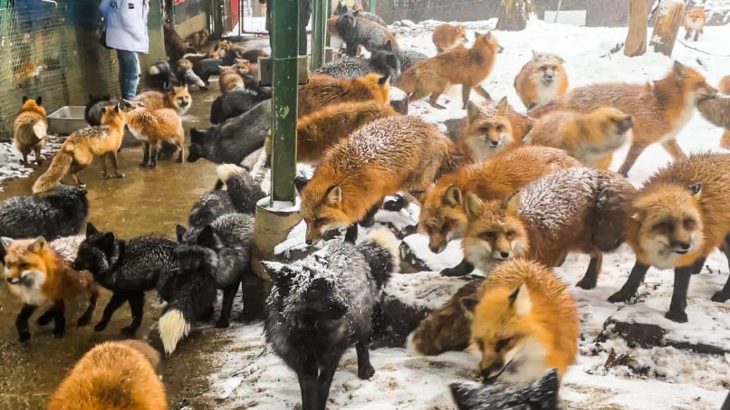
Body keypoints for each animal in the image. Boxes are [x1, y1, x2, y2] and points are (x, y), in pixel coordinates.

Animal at [301, 115, 464, 245]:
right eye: (306, 220)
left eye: (320, 220)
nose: (308, 242)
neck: (347, 171)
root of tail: (436, 132)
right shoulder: (359, 197)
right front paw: (351, 236)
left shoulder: (375, 192)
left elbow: (363, 216)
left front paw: (356, 232)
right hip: (405, 185)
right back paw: (396, 205)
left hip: (414, 186)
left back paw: (414, 228)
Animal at [464, 167, 637, 289]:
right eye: (489, 234)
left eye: (510, 233)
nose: (505, 254)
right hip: (584, 243)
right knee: (597, 255)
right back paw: (589, 281)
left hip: (602, 241)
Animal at [529, 61, 717, 176]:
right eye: (702, 83)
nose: (716, 91)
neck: (663, 104)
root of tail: (567, 97)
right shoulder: (641, 140)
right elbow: (628, 163)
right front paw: (623, 176)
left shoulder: (667, 140)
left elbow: (683, 157)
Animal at [609, 153, 730, 323]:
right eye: (665, 225)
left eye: (687, 222)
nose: (686, 245)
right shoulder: (644, 252)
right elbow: (635, 274)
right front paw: (623, 295)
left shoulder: (685, 258)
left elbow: (679, 289)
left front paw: (676, 314)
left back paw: (723, 295)